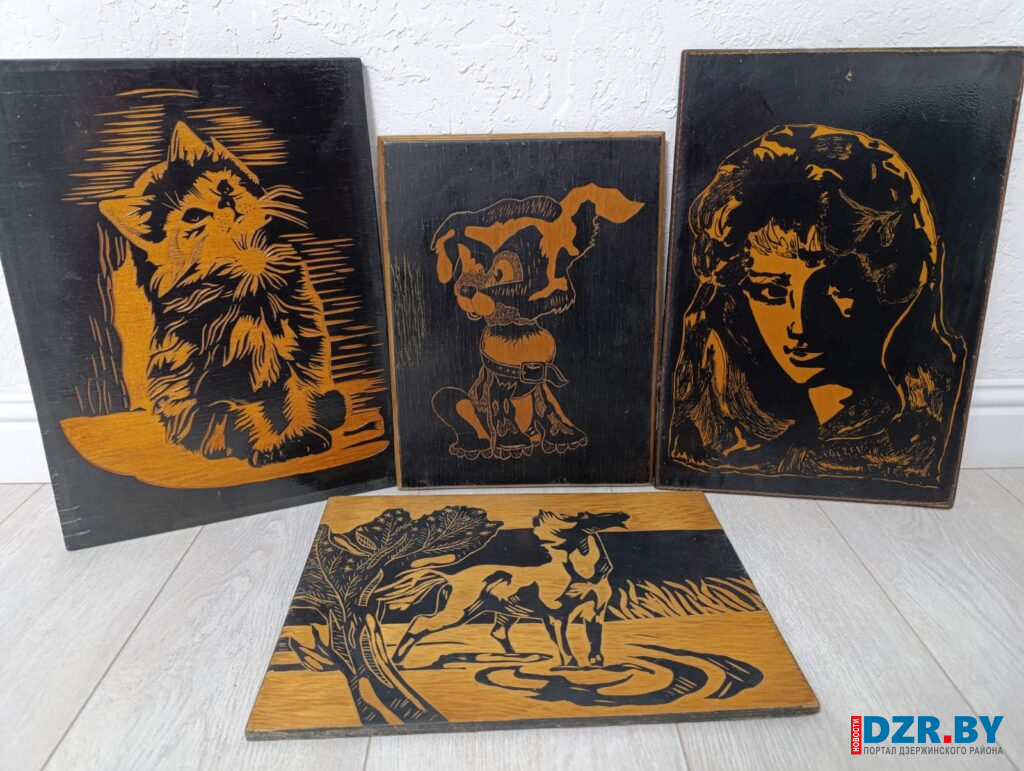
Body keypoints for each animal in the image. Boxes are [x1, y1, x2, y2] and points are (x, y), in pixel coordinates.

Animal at [429, 184, 643, 460]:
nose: (465, 288)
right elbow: (501, 407)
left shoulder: (541, 382)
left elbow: (548, 406)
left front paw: (563, 435)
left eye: (502, 273)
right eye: (463, 266)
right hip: (456, 402)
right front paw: (511, 442)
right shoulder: (499, 383)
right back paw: (475, 446)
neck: (517, 331)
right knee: (460, 410)